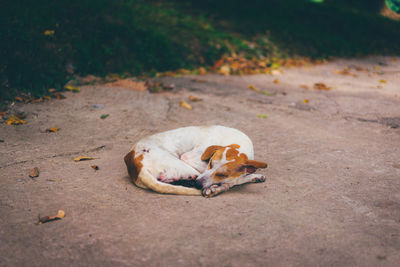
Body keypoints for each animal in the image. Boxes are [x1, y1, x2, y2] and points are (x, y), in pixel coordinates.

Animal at [123, 125, 268, 197]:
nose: (197, 184)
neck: (238, 143)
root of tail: (136, 167)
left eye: (222, 174)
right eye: (210, 163)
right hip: (183, 166)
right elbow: (233, 181)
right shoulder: (189, 158)